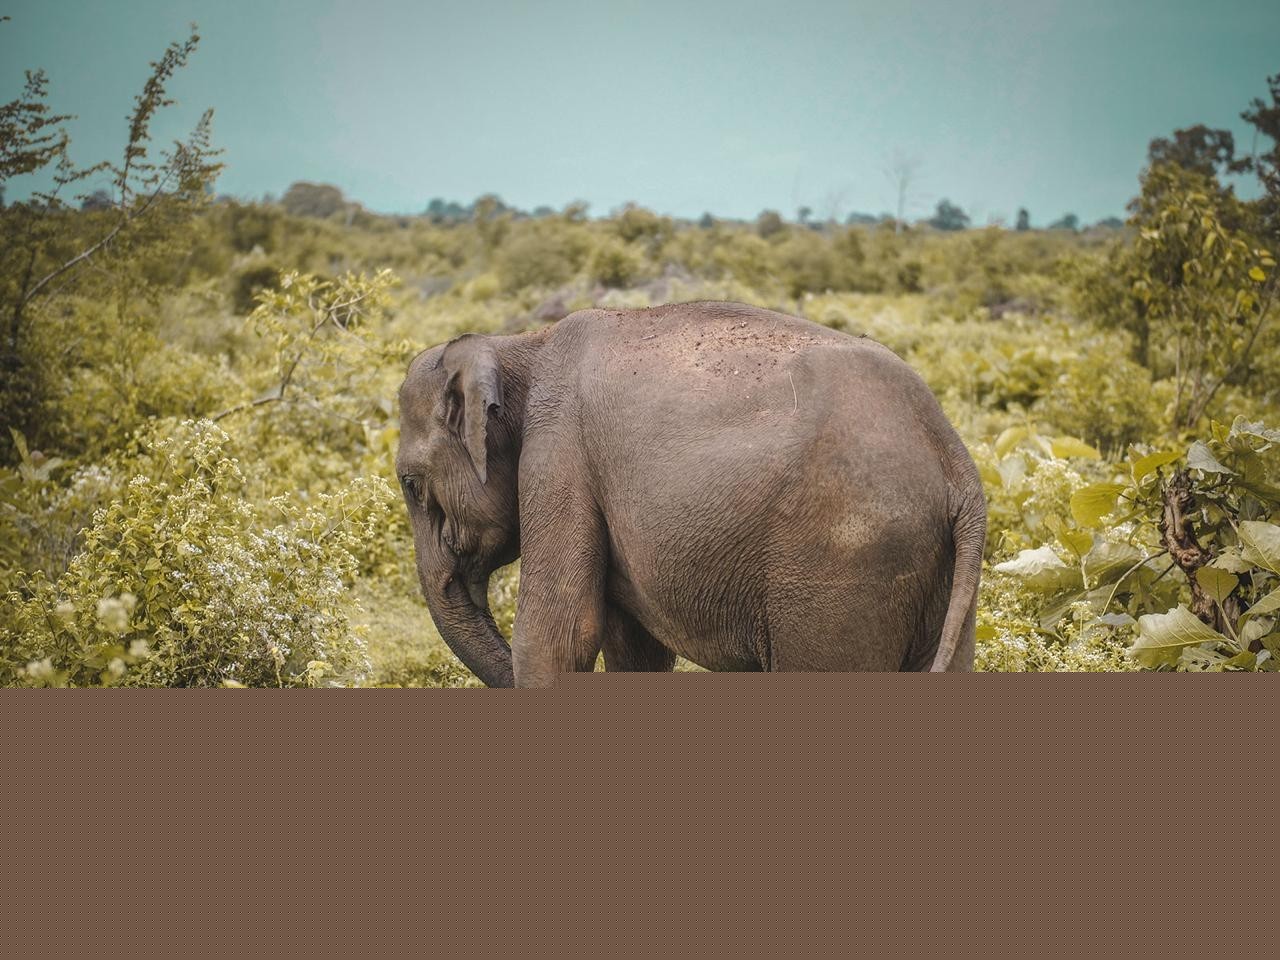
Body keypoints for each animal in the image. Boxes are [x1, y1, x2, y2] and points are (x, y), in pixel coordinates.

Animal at [396, 300, 986, 687]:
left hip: (844, 560)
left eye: (410, 483)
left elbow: (558, 638)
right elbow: (636, 650)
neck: (518, 343)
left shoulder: (560, 455)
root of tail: (953, 459)